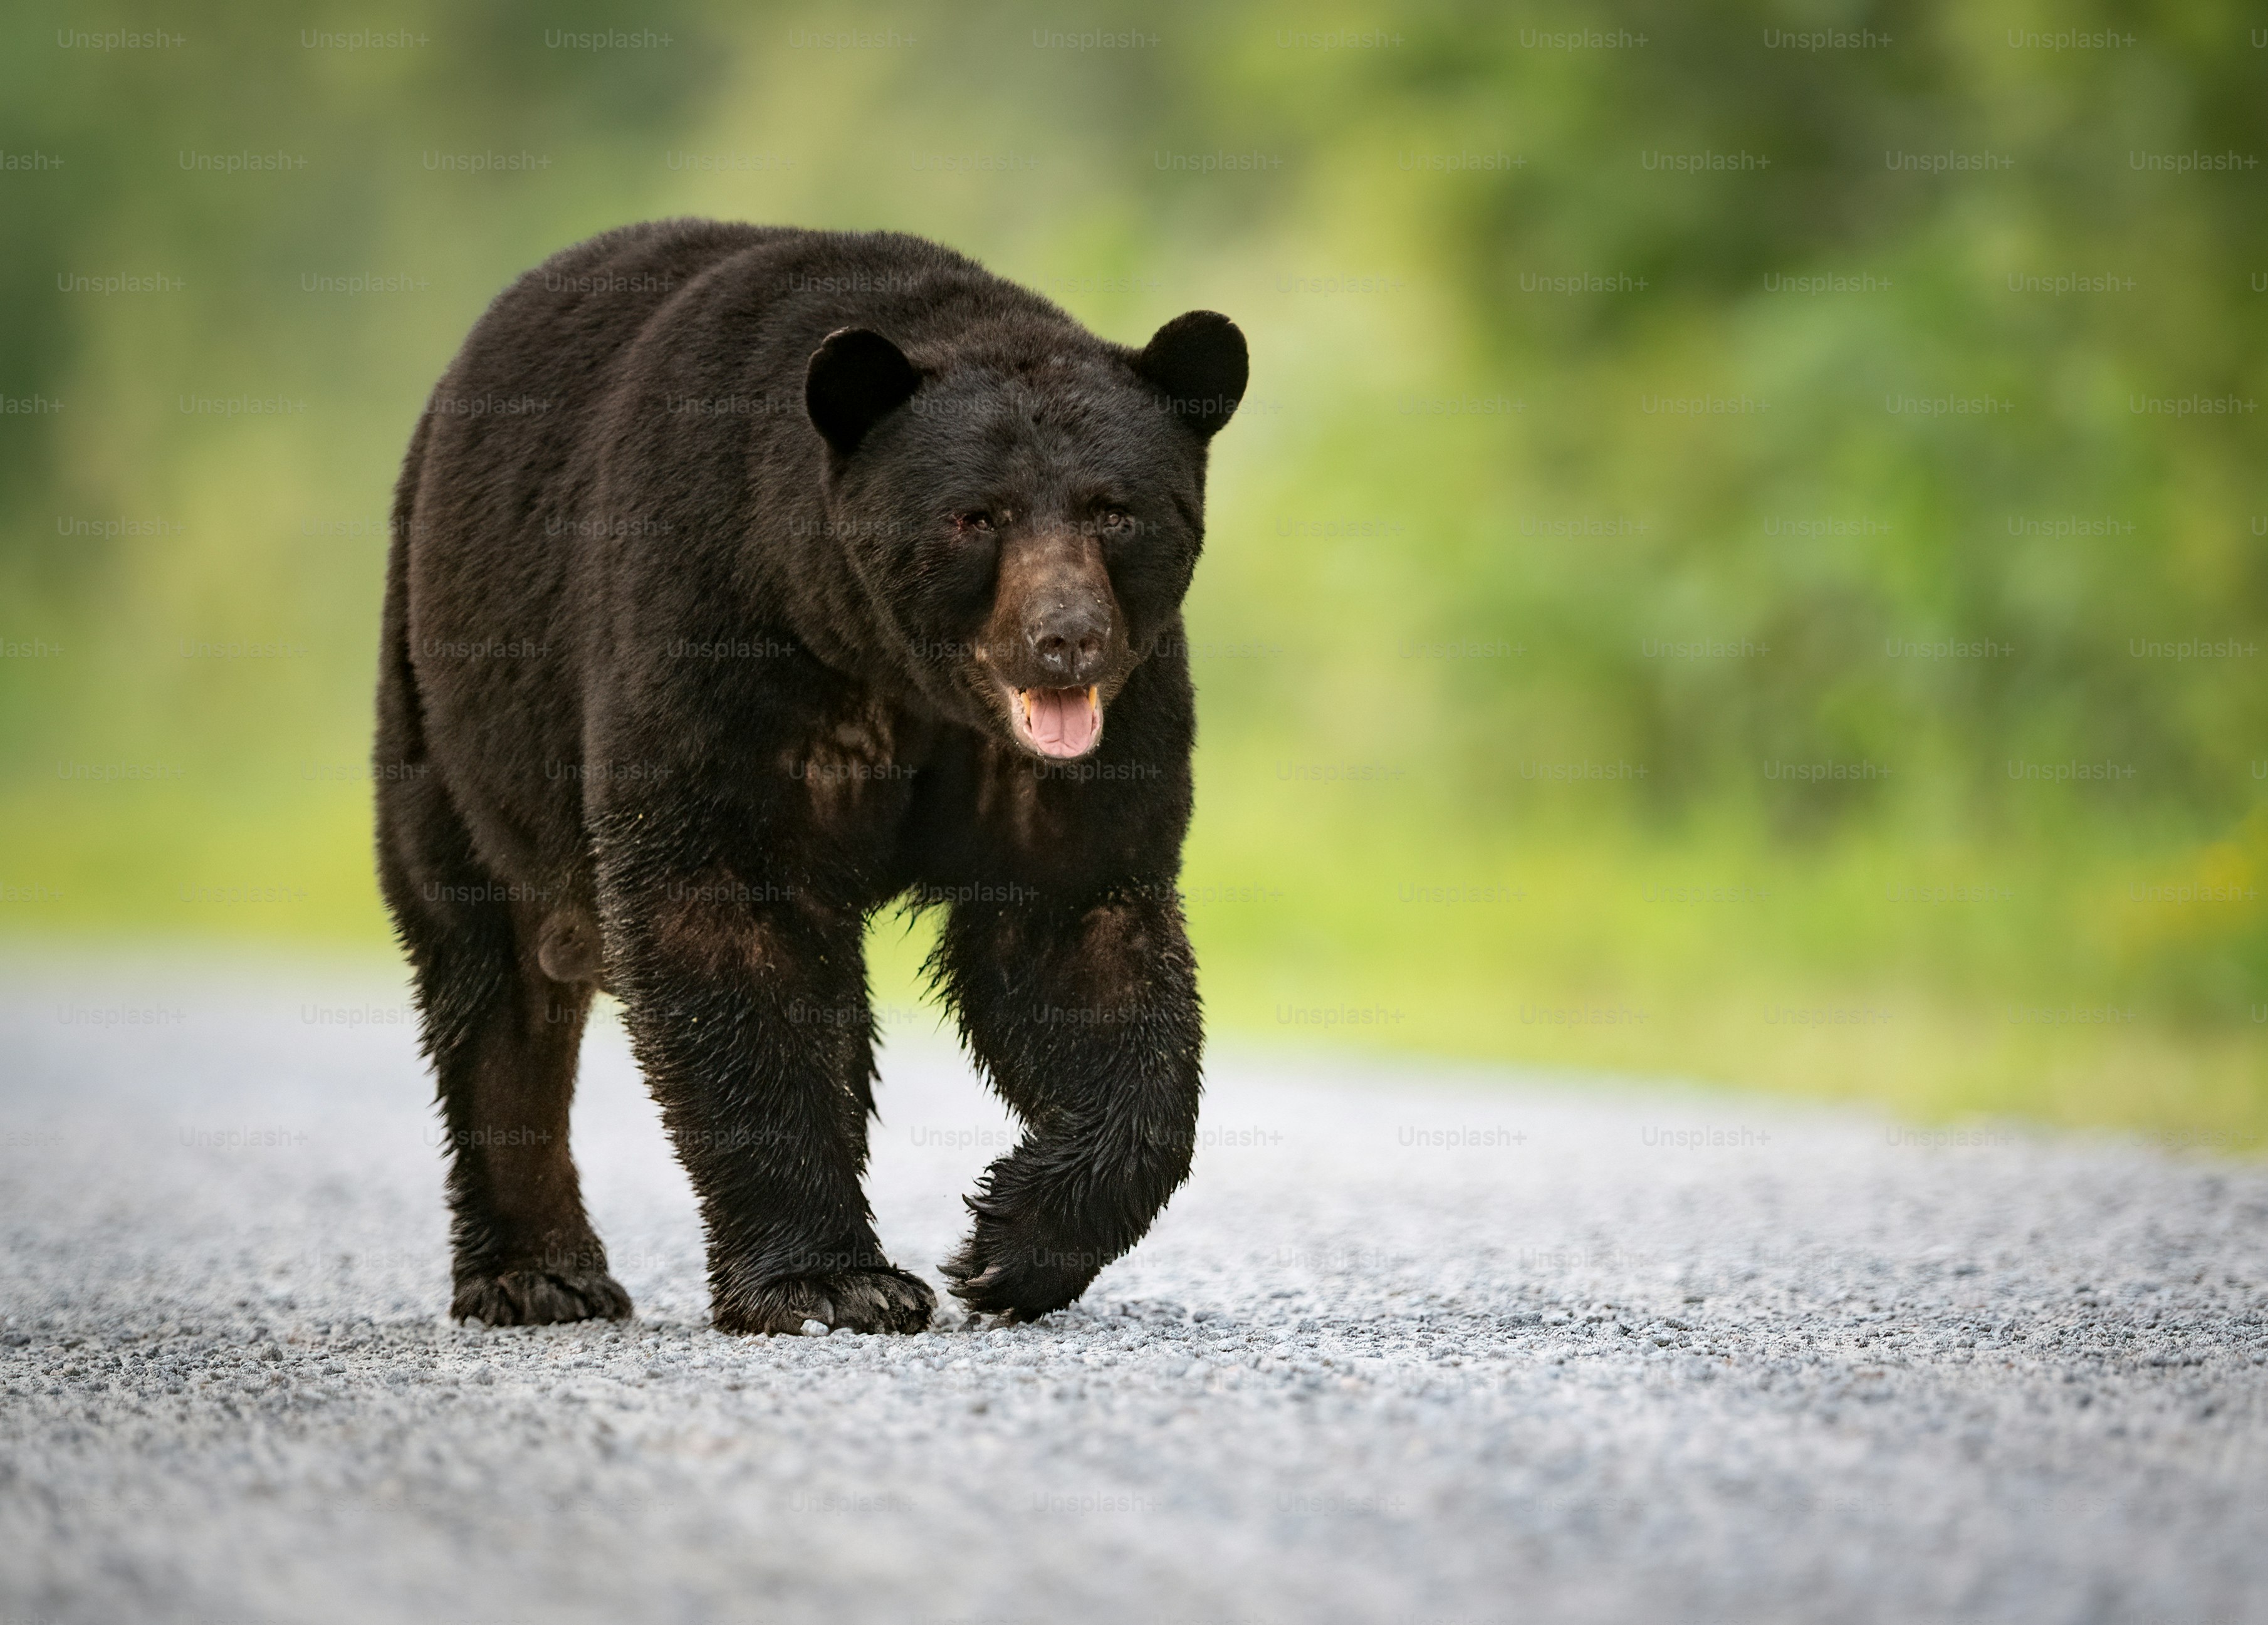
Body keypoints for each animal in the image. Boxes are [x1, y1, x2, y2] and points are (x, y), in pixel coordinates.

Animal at [373, 219, 1246, 1333]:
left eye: (1115, 511)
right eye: (976, 516)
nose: (1067, 639)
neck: (888, 665)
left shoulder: (1091, 741)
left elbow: (1082, 934)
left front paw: (1011, 1240)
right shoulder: (722, 643)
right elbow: (731, 923)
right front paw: (829, 1281)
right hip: (451, 704)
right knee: (490, 973)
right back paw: (538, 1272)